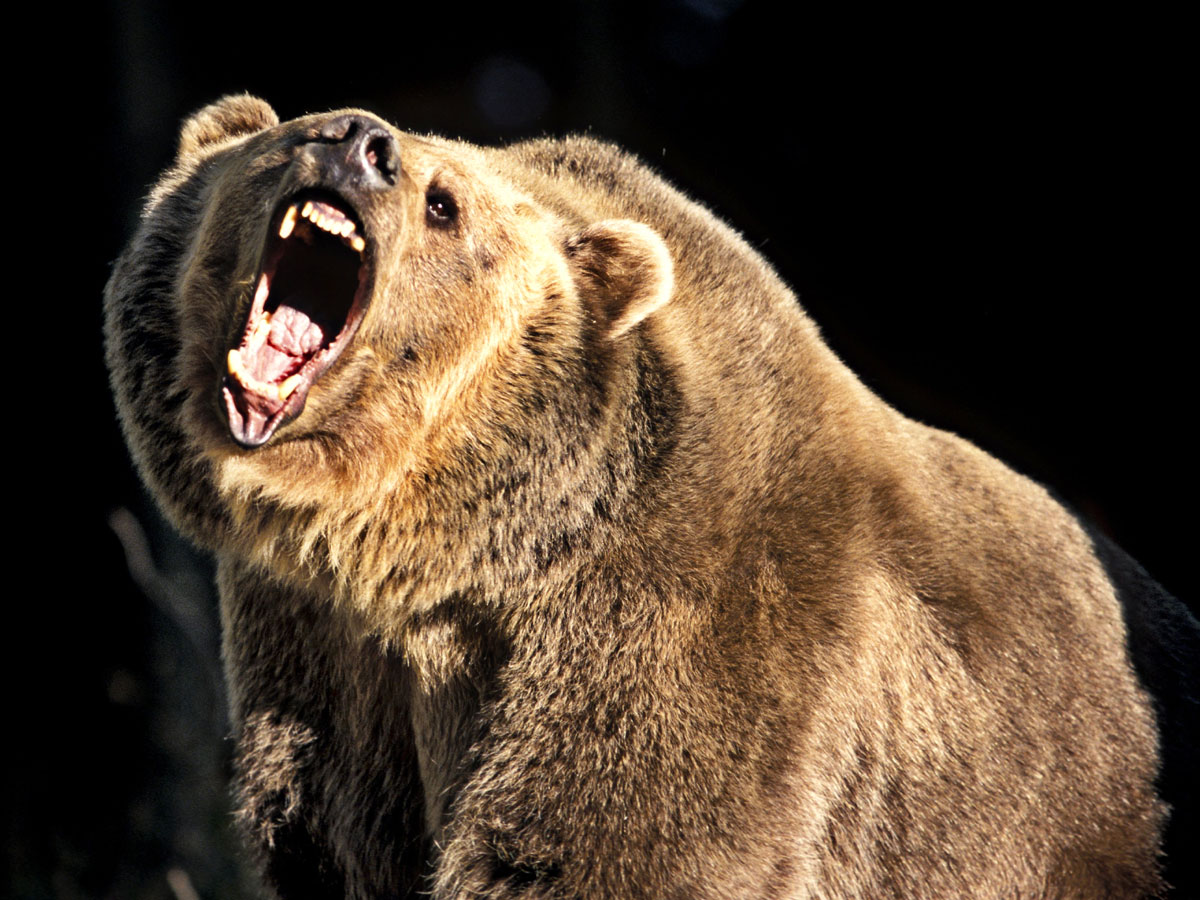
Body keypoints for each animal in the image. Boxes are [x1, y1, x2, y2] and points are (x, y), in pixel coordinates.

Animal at [104, 94, 1197, 899]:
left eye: (445, 201)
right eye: (291, 133)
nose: (357, 142)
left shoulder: (689, 612)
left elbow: (607, 845)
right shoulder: (320, 656)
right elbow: (331, 835)